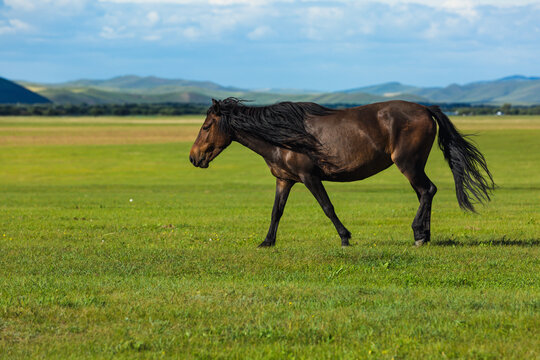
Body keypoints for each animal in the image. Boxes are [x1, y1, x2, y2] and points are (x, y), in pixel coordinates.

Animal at [189, 98, 494, 248]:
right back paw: (425, 235)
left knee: (427, 190)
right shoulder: (284, 180)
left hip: (408, 164)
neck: (283, 137)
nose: (193, 158)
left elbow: (327, 207)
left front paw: (345, 238)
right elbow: (277, 212)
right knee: (425, 193)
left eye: (205, 127)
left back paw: (419, 234)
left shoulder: (309, 177)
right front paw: (267, 242)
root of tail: (425, 109)